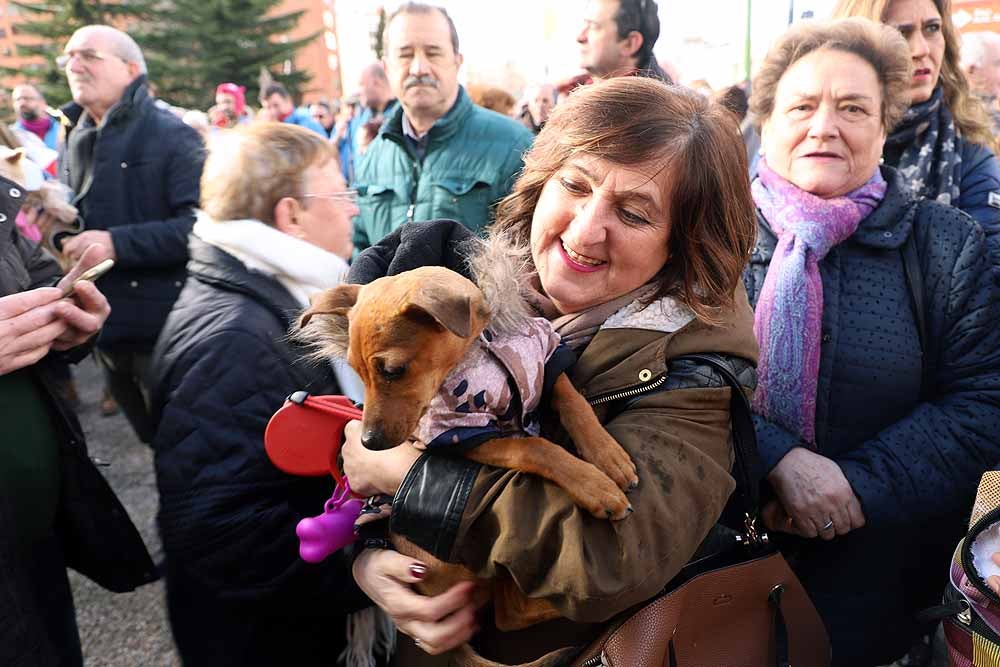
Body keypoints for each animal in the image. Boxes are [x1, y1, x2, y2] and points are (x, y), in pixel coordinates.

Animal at [298, 264, 640, 632]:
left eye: (393, 370)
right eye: (356, 371)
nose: (369, 443)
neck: (477, 344)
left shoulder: (544, 358)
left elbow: (573, 401)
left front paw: (608, 456)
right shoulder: (458, 432)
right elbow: (534, 447)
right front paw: (596, 487)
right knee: (505, 613)